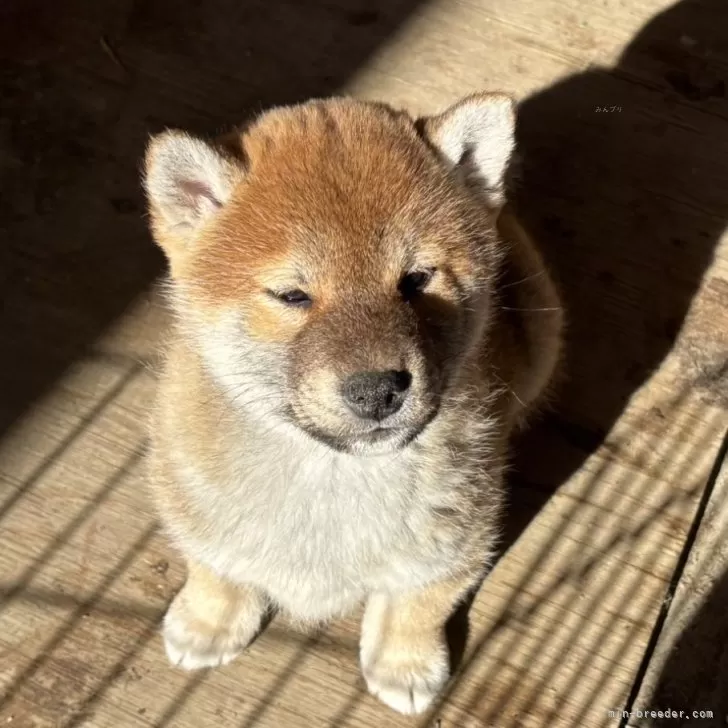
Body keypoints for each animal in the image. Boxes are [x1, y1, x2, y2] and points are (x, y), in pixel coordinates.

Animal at [142, 92, 564, 716]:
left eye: (416, 279)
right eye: (293, 295)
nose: (377, 389)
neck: (332, 478)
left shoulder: (456, 542)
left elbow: (418, 606)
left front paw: (406, 664)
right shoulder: (192, 498)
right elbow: (215, 570)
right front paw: (207, 624)